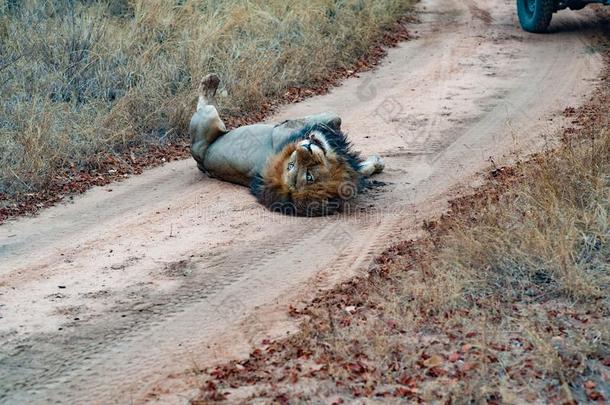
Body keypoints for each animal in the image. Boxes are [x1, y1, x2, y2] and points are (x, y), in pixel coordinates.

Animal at [188, 74, 382, 216]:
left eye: (306, 174)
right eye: (292, 166)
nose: (305, 147)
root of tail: (201, 162)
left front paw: (375, 165)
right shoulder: (284, 128)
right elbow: (331, 119)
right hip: (209, 115)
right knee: (203, 103)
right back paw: (210, 82)